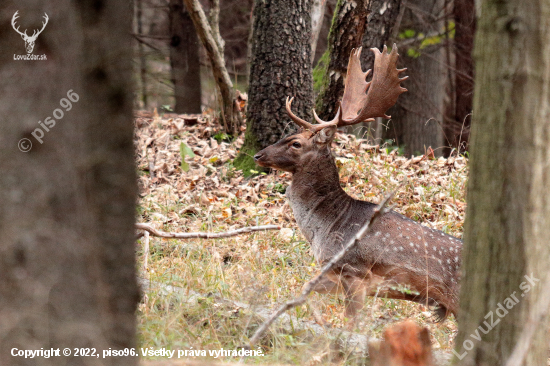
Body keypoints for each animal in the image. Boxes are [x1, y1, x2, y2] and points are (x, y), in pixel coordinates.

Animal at [256, 45, 464, 320]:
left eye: (296, 143)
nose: (258, 155)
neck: (326, 226)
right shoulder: (333, 273)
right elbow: (306, 289)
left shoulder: (355, 273)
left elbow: (351, 320)